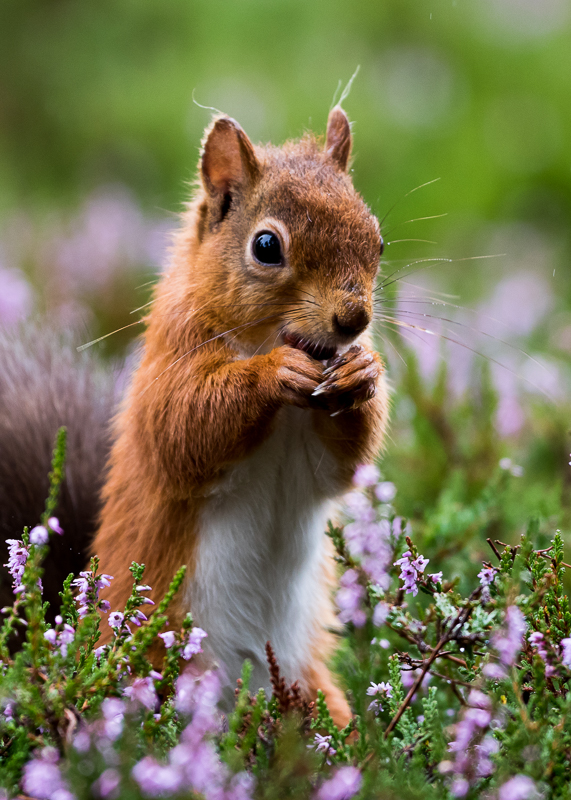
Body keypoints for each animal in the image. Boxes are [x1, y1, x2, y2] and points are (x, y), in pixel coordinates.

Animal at [0, 106, 388, 726]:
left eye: (377, 239)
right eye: (266, 246)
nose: (353, 320)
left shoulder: (317, 454)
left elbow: (345, 463)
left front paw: (363, 371)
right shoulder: (170, 363)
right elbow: (185, 427)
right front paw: (273, 373)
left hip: (310, 690)